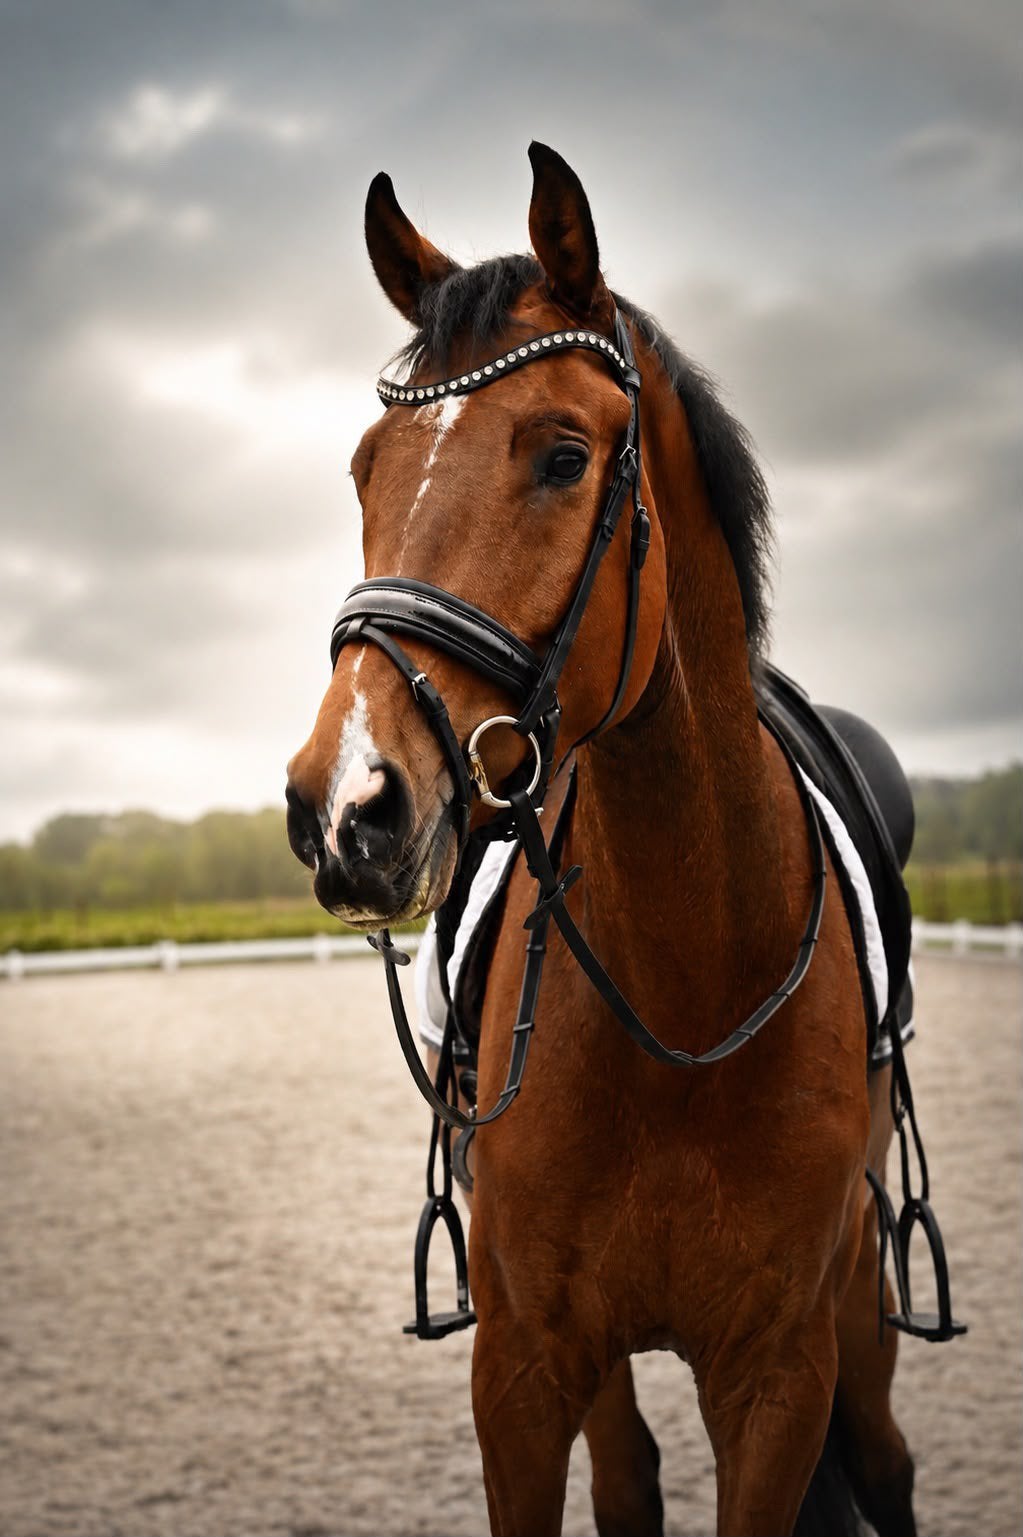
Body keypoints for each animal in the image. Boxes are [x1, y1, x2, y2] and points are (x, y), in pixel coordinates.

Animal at [286, 142, 927, 1536]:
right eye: (365, 468)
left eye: (565, 457)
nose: (347, 806)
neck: (686, 991)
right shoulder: (524, 1368)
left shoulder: (778, 1376)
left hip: (857, 1310)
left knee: (886, 1461)